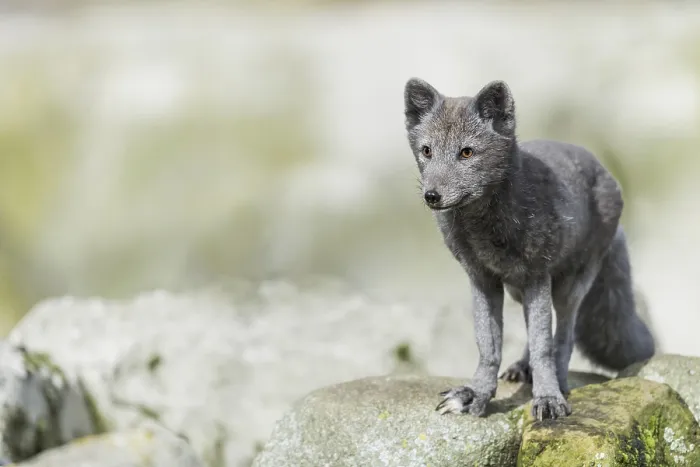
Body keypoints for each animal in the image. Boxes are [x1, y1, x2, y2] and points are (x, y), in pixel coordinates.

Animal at [403, 78, 655, 420]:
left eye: (466, 152)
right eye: (426, 151)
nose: (432, 195)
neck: (485, 229)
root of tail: (606, 173)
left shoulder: (537, 275)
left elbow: (543, 345)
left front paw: (547, 398)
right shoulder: (482, 279)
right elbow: (488, 346)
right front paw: (475, 395)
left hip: (568, 286)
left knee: (564, 336)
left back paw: (558, 381)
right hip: (518, 290)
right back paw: (523, 368)